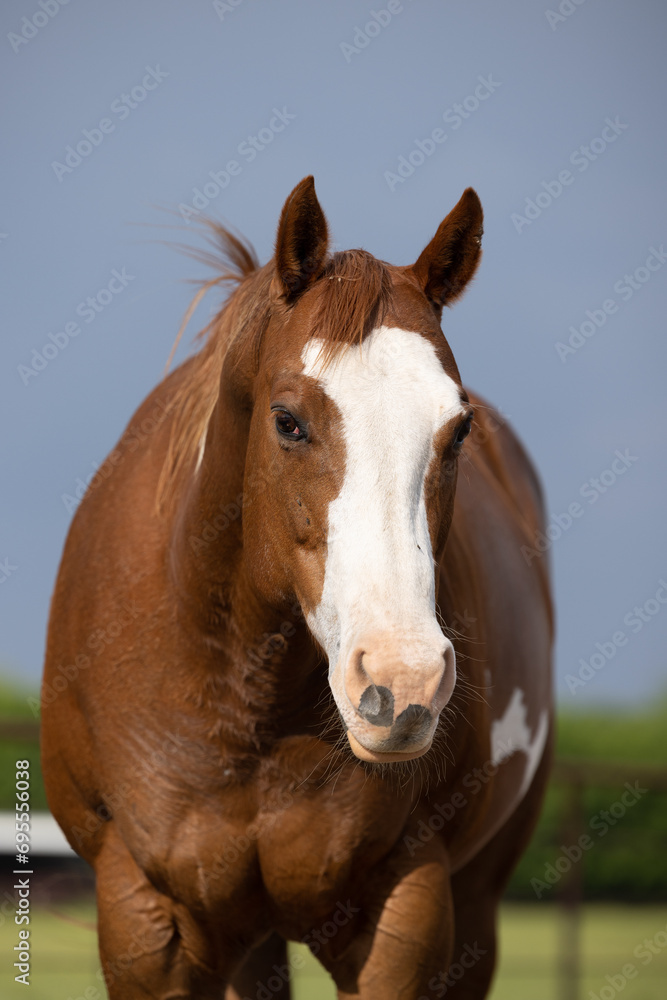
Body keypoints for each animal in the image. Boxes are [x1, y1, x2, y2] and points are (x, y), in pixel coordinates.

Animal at [41, 176, 553, 999]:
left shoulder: (406, 912)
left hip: (476, 903)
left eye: (459, 431)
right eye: (287, 421)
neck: (243, 702)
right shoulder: (141, 917)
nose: (403, 680)